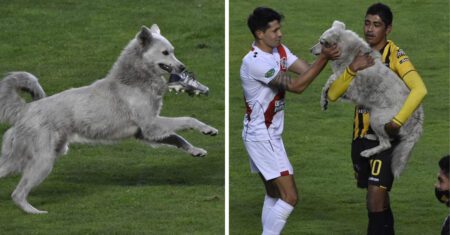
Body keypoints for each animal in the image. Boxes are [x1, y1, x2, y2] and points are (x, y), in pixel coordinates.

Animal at [0, 24, 218, 214]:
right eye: (165, 53)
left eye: (172, 51)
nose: (183, 67)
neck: (134, 81)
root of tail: (25, 109)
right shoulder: (152, 125)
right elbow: (187, 120)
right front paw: (207, 129)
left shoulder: (147, 133)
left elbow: (178, 138)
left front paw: (195, 150)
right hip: (42, 161)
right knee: (18, 194)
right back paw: (34, 212)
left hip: (28, 157)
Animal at [312, 20, 424, 178]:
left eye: (322, 42)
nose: (310, 50)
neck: (350, 52)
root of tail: (419, 118)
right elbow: (330, 82)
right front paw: (324, 101)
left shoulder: (349, 87)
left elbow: (330, 82)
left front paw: (324, 100)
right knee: (388, 138)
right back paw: (372, 137)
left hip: (377, 117)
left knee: (386, 143)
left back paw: (368, 151)